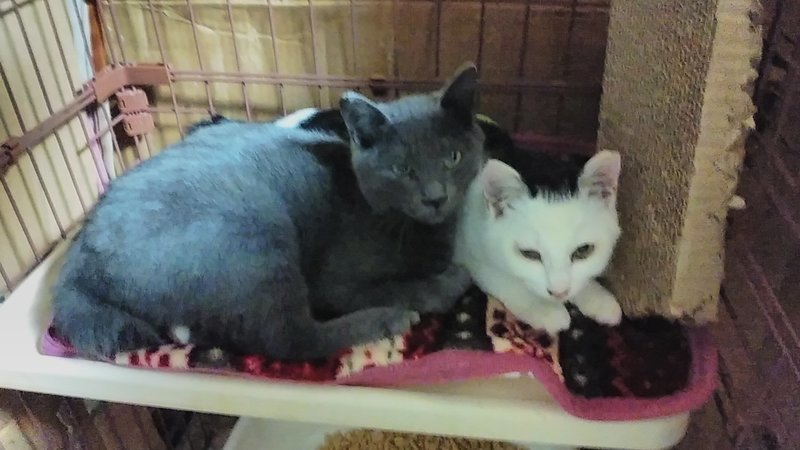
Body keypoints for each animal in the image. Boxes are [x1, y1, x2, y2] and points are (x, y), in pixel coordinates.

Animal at [52, 64, 485, 360]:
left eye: (453, 157)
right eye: (402, 170)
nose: (436, 197)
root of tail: (77, 264)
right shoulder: (335, 281)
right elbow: (407, 287)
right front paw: (450, 280)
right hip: (255, 235)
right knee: (291, 339)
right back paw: (389, 319)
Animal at [454, 151, 623, 335]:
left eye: (583, 250)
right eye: (529, 254)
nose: (559, 293)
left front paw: (597, 298)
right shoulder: (467, 248)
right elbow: (501, 278)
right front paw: (544, 308)